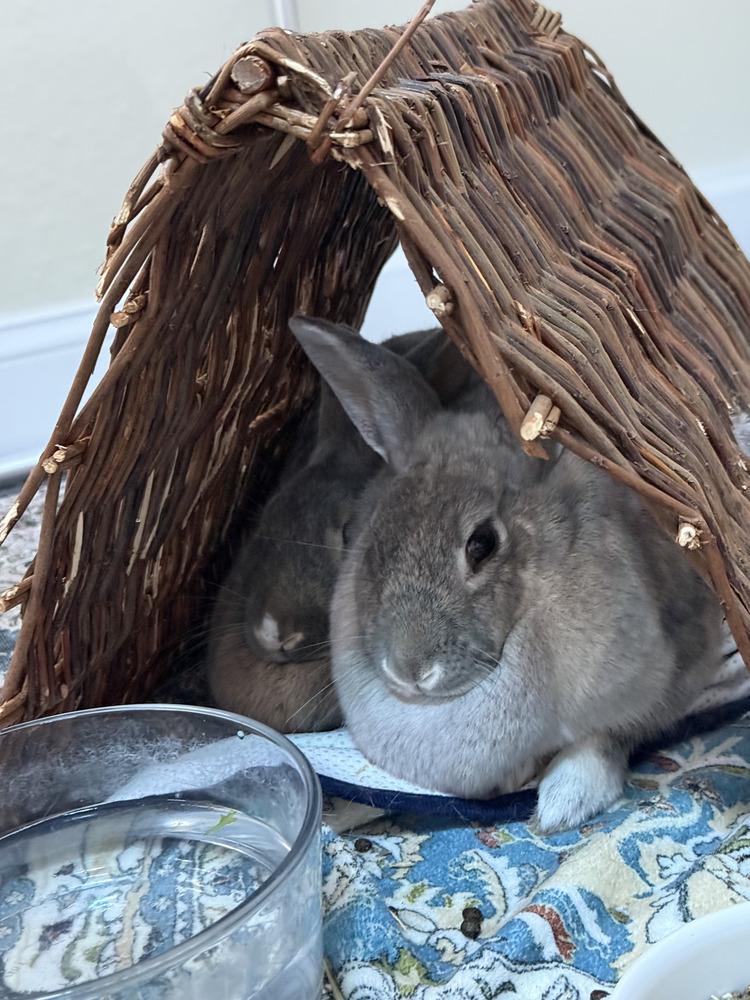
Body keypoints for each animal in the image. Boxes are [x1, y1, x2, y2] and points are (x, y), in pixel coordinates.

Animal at [289, 315, 723, 832]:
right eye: (376, 534)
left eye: (482, 544)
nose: (408, 669)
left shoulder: (662, 678)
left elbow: (608, 739)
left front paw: (560, 806)